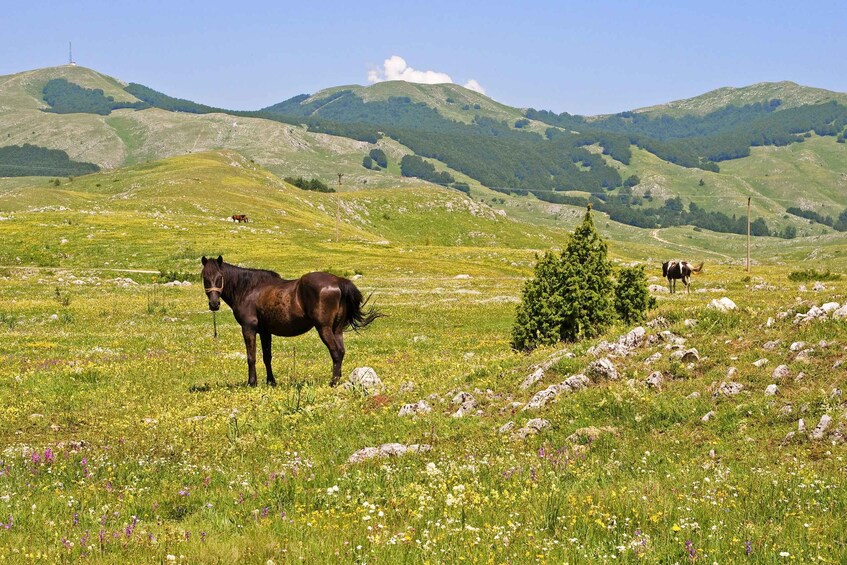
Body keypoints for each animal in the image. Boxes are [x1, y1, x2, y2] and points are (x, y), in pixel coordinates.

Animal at [200, 256, 382, 387]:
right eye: (205, 278)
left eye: (219, 277)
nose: (214, 304)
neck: (249, 289)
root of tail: (338, 281)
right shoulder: (265, 332)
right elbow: (267, 357)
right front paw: (271, 382)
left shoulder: (248, 329)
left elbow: (251, 357)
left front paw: (252, 383)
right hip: (337, 330)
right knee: (341, 352)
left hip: (324, 329)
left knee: (336, 352)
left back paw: (333, 383)